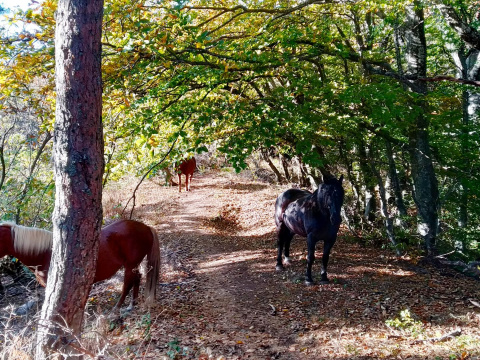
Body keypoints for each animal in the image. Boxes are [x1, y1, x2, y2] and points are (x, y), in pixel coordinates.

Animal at [0, 218, 161, 308]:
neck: (45, 253)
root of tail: (146, 228)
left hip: (130, 265)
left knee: (128, 283)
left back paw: (118, 308)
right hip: (134, 265)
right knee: (137, 279)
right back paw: (132, 304)